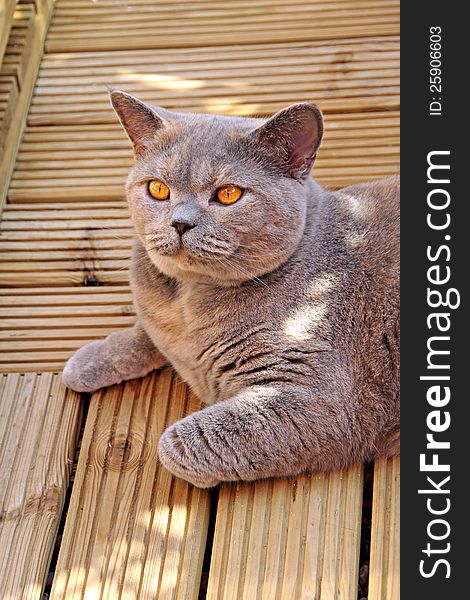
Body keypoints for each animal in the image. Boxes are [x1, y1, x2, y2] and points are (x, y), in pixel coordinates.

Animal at [62, 91, 398, 490]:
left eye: (227, 194)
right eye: (158, 189)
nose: (180, 222)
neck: (189, 303)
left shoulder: (320, 400)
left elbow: (174, 444)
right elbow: (145, 334)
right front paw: (87, 361)